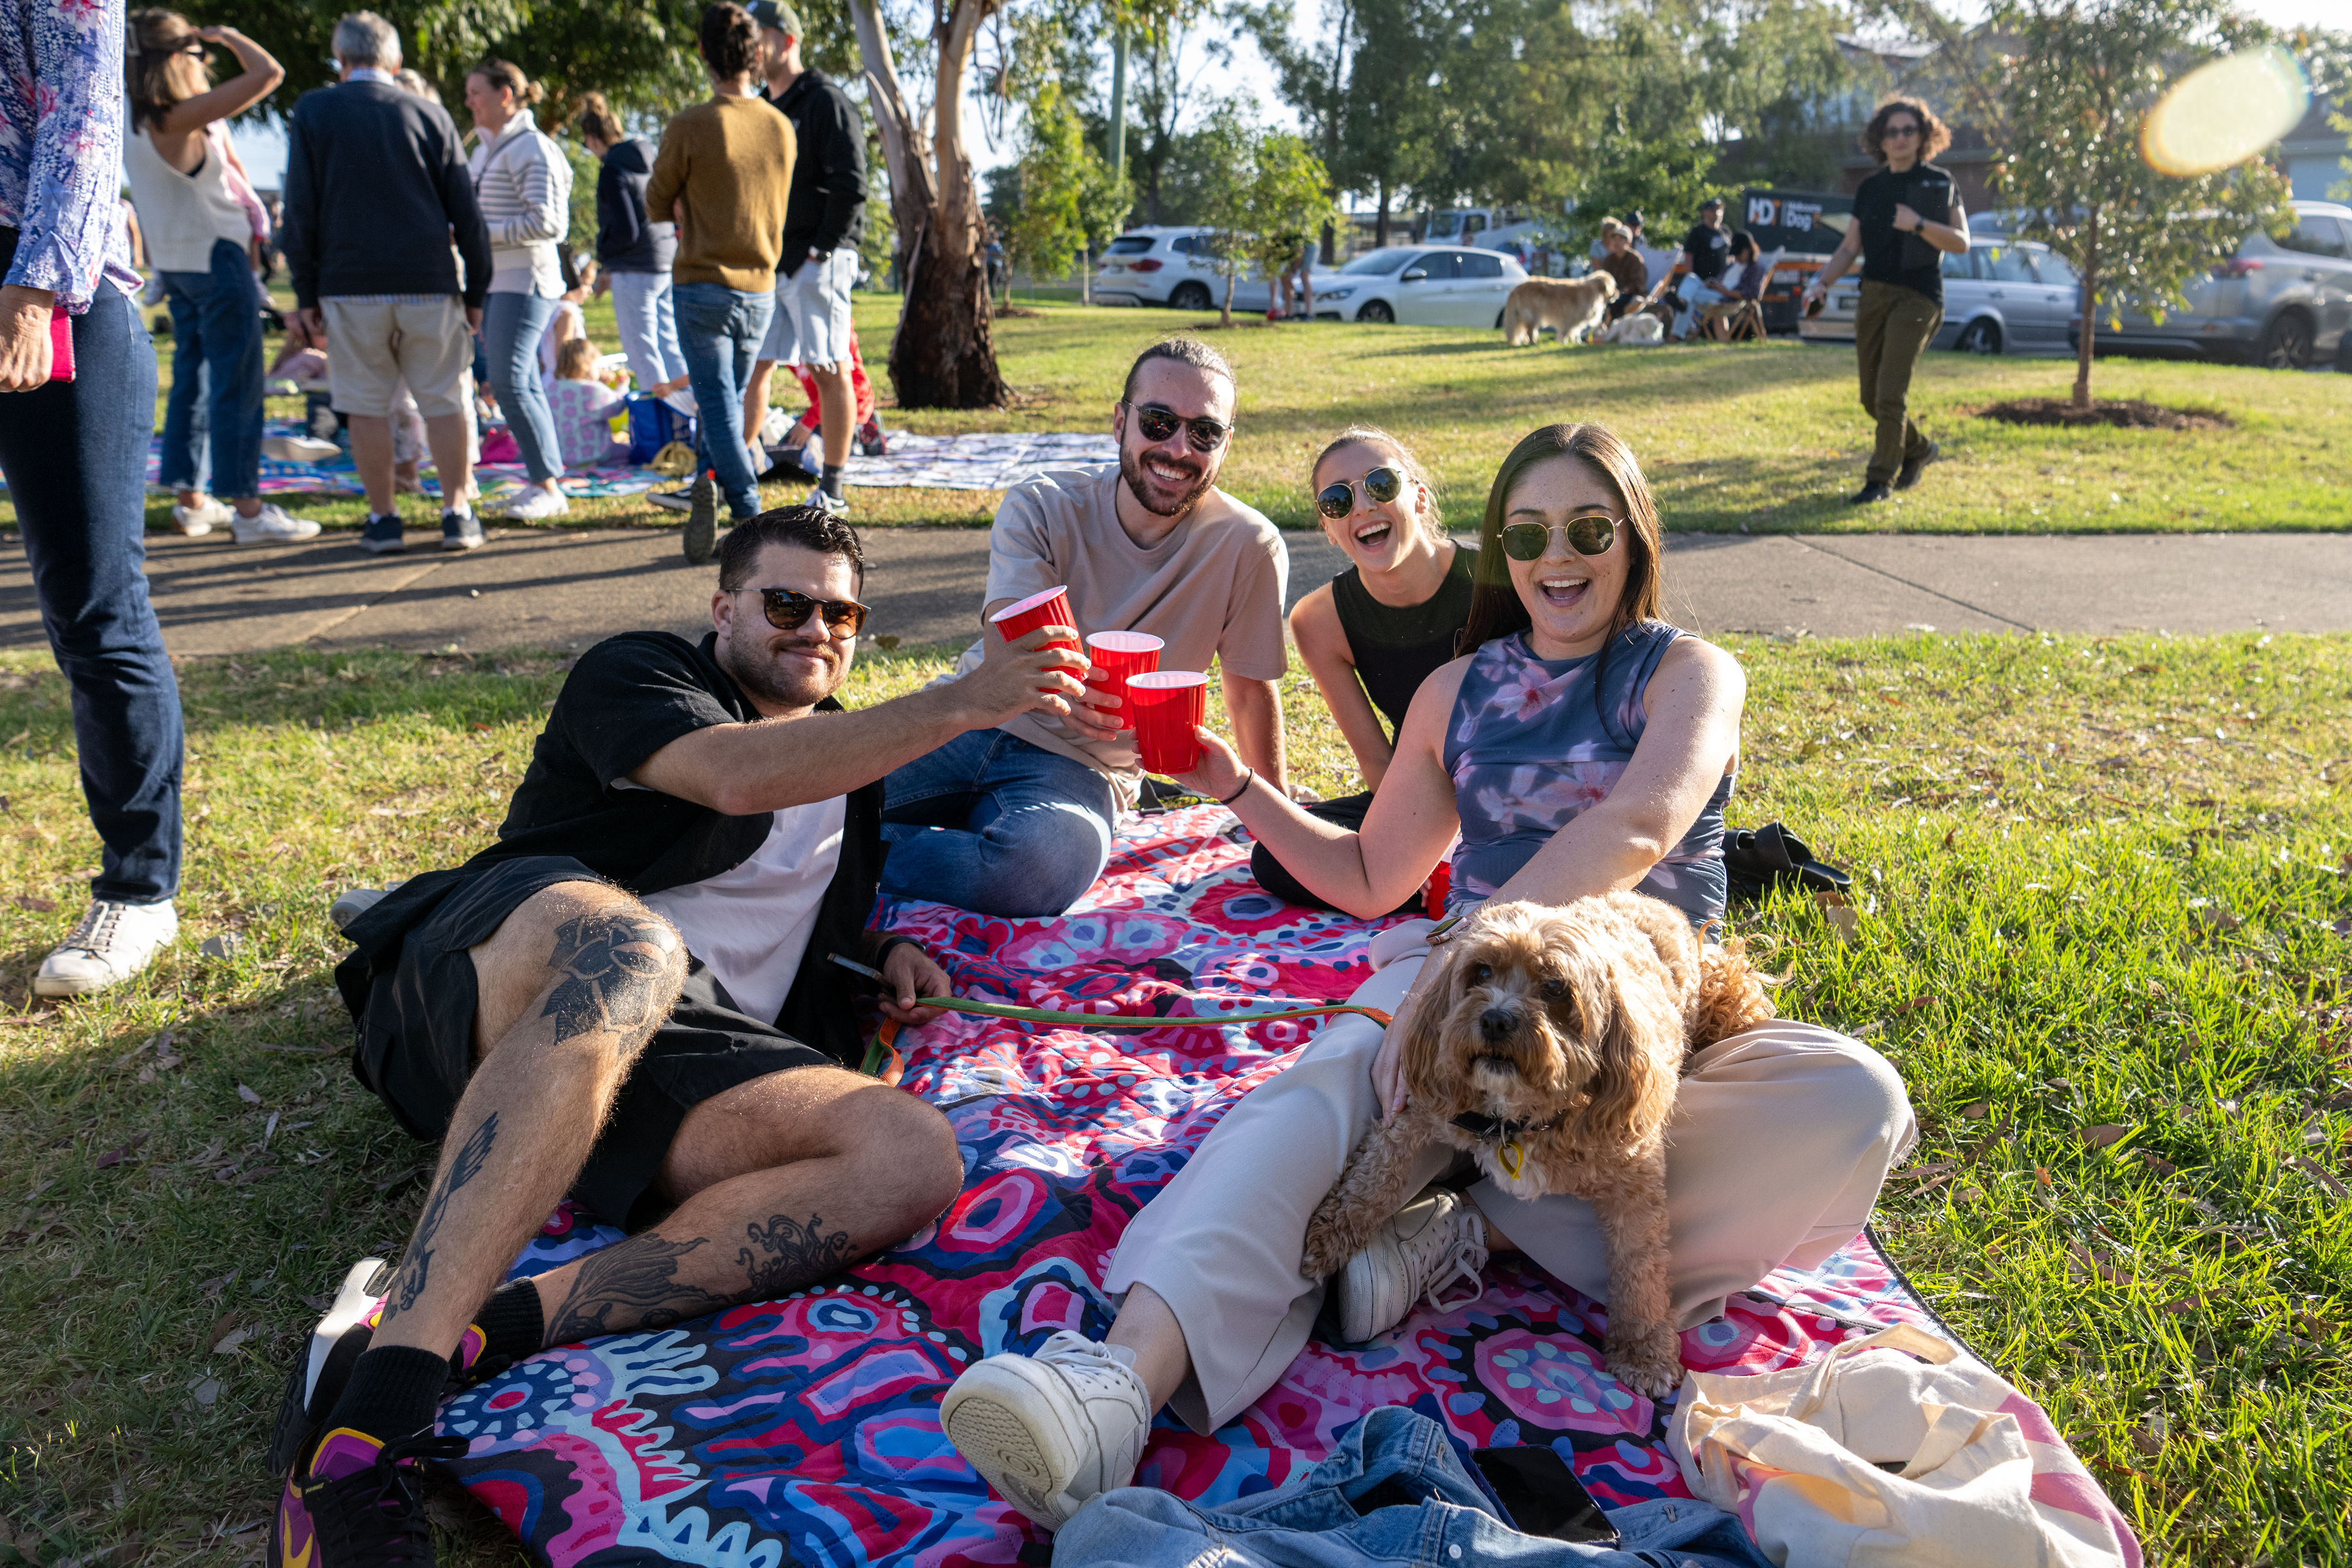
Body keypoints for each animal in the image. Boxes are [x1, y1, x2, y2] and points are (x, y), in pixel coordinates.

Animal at [1298, 893, 1769, 1401]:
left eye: (1556, 987)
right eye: (1482, 972)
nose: (1496, 1018)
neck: (1517, 1117)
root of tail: (1656, 904)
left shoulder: (1635, 1180)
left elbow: (1640, 1267)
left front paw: (1644, 1352)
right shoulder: (1420, 1108)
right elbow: (1374, 1178)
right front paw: (1329, 1238)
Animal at [1505, 277, 1618, 348]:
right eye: (1614, 287)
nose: (1618, 292)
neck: (1595, 291)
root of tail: (1515, 290)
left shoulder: (1574, 319)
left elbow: (1575, 332)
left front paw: (1577, 343)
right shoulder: (1570, 317)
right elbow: (1566, 332)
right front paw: (1564, 343)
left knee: (1527, 330)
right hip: (1535, 315)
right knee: (1530, 331)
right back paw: (1533, 343)